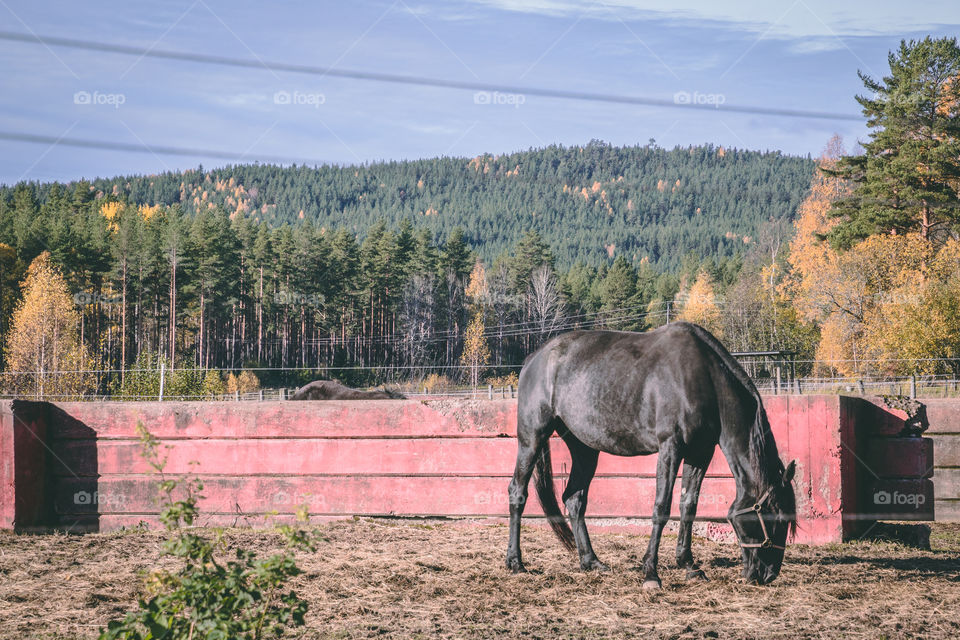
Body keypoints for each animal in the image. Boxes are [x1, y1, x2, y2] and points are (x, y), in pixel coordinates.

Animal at [506, 322, 800, 588]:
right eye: (775, 519)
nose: (767, 574)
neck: (703, 378)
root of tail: (534, 359)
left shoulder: (700, 453)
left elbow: (688, 505)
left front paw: (689, 565)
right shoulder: (670, 447)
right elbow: (661, 507)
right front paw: (651, 573)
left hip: (584, 448)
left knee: (575, 499)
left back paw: (591, 561)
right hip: (532, 438)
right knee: (517, 492)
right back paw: (515, 562)